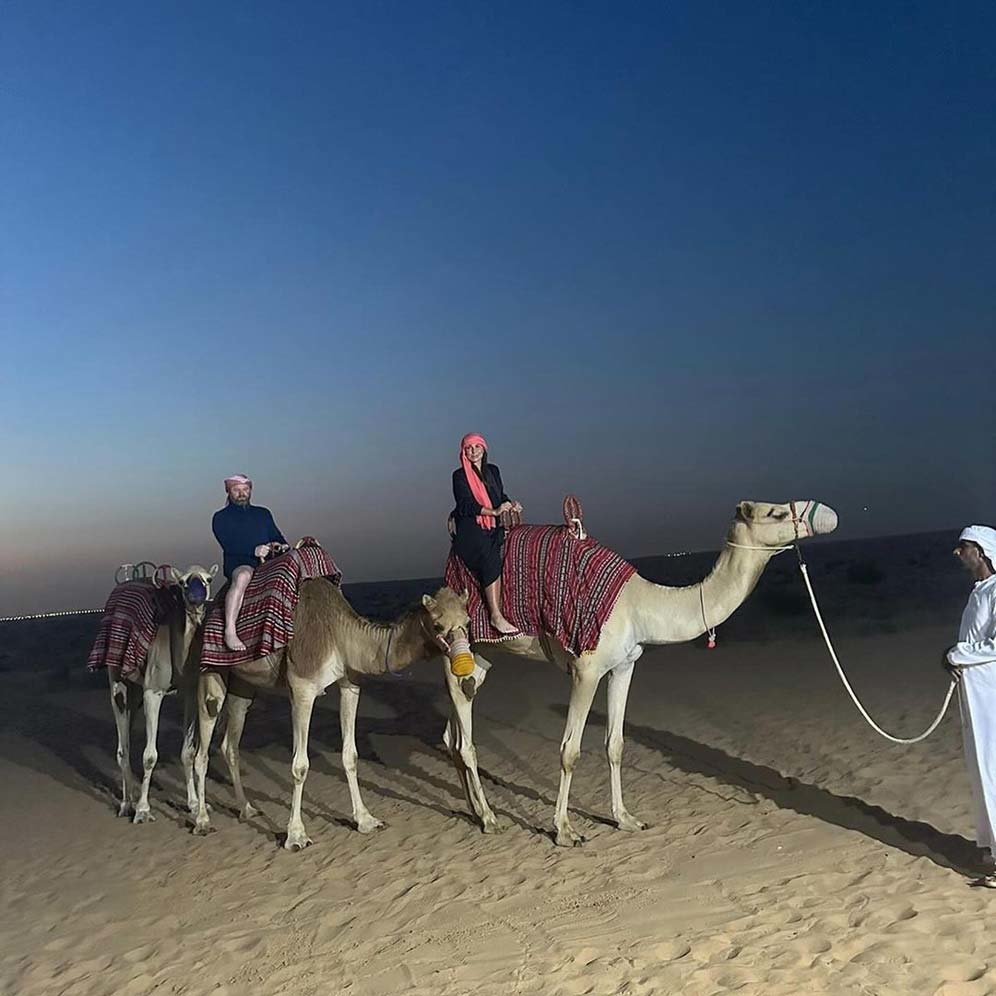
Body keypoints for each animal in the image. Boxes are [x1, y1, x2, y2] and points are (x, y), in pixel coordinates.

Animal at [107, 564, 218, 820]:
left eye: (208, 579)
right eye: (184, 582)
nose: (196, 596)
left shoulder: (190, 690)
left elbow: (188, 752)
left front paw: (194, 804)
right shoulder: (153, 692)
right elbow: (149, 756)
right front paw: (143, 809)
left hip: (135, 691)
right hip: (117, 681)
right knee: (123, 747)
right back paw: (126, 804)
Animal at [196, 584, 472, 848]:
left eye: (468, 621)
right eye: (437, 625)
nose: (464, 664)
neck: (341, 635)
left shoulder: (350, 684)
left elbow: (351, 756)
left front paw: (366, 820)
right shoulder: (302, 688)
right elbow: (300, 766)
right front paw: (296, 836)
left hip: (243, 684)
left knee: (230, 743)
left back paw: (247, 809)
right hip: (207, 671)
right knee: (202, 742)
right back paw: (202, 820)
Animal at [440, 502, 836, 844]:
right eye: (776, 512)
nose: (827, 514)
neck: (640, 605)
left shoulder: (624, 665)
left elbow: (615, 744)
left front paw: (626, 818)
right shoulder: (586, 669)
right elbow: (570, 750)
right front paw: (565, 831)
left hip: (481, 657)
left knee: (453, 733)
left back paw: (475, 811)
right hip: (455, 647)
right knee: (466, 742)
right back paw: (490, 818)